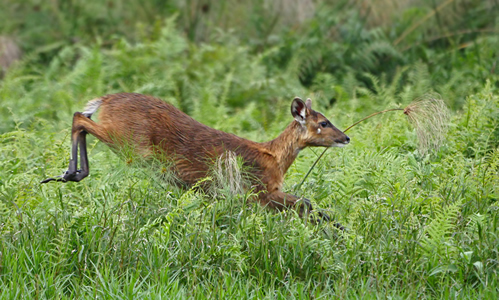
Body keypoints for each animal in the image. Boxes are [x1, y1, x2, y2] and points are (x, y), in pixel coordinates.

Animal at [41, 94, 350, 223]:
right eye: (323, 123)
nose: (346, 137)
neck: (275, 158)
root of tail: (105, 100)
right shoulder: (258, 190)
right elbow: (306, 203)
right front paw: (339, 232)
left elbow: (306, 204)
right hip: (130, 141)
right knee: (79, 117)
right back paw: (70, 173)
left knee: (81, 118)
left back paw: (68, 173)